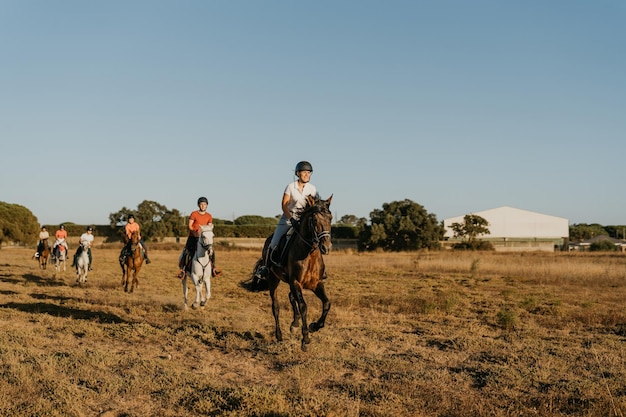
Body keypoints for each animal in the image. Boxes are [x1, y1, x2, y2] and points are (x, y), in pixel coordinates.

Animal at [247, 193, 334, 350]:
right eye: (315, 220)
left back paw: (295, 323)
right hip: (273, 280)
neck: (309, 253)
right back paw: (279, 335)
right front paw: (305, 339)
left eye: (330, 218)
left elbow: (327, 303)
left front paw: (314, 326)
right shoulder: (296, 282)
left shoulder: (316, 284)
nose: (326, 247)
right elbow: (303, 306)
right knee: (276, 307)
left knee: (291, 297)